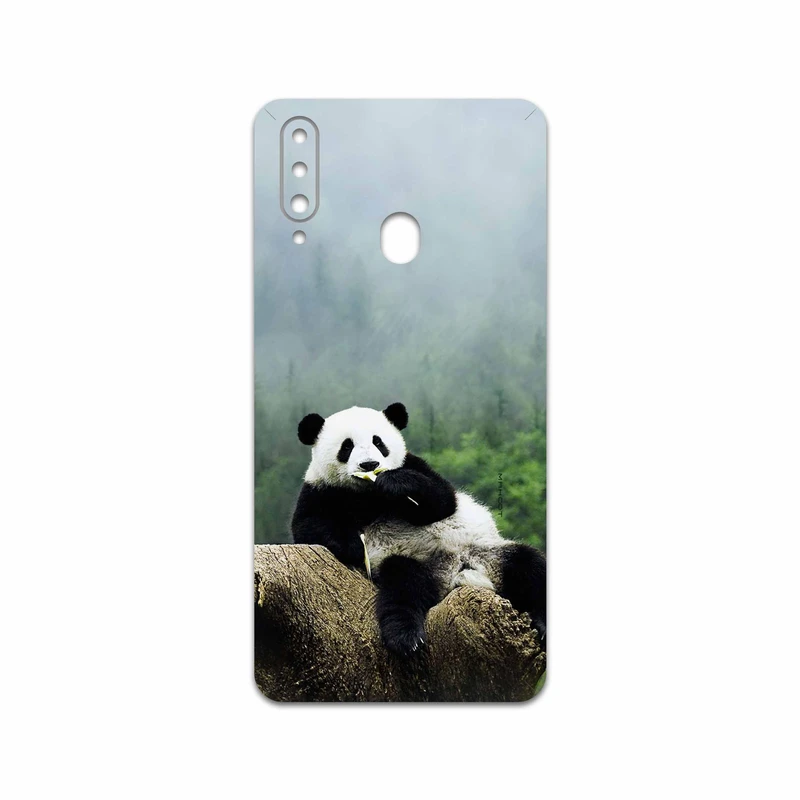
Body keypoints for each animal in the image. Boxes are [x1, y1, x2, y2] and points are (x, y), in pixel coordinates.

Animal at [291, 402, 546, 656]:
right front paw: (354, 545)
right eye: (347, 446)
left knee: (529, 565)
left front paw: (395, 483)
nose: (370, 465)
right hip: (413, 562)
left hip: (487, 552)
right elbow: (307, 526)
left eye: (378, 442)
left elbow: (443, 500)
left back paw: (542, 623)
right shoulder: (321, 490)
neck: (368, 494)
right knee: (403, 587)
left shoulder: (414, 464)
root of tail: (456, 573)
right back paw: (406, 637)